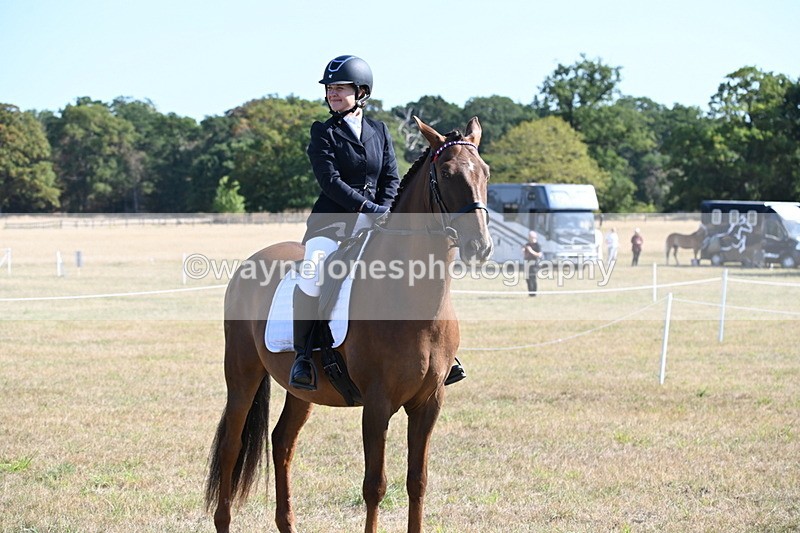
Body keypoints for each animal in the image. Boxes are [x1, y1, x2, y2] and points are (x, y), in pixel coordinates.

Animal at [204, 116, 492, 533]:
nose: (480, 247)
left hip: (300, 389)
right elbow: (375, 485)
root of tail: (249, 264)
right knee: (232, 444)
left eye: (485, 172)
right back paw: (224, 519)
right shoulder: (377, 403)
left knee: (282, 441)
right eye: (447, 173)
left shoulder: (428, 403)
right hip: (242, 372)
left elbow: (417, 482)